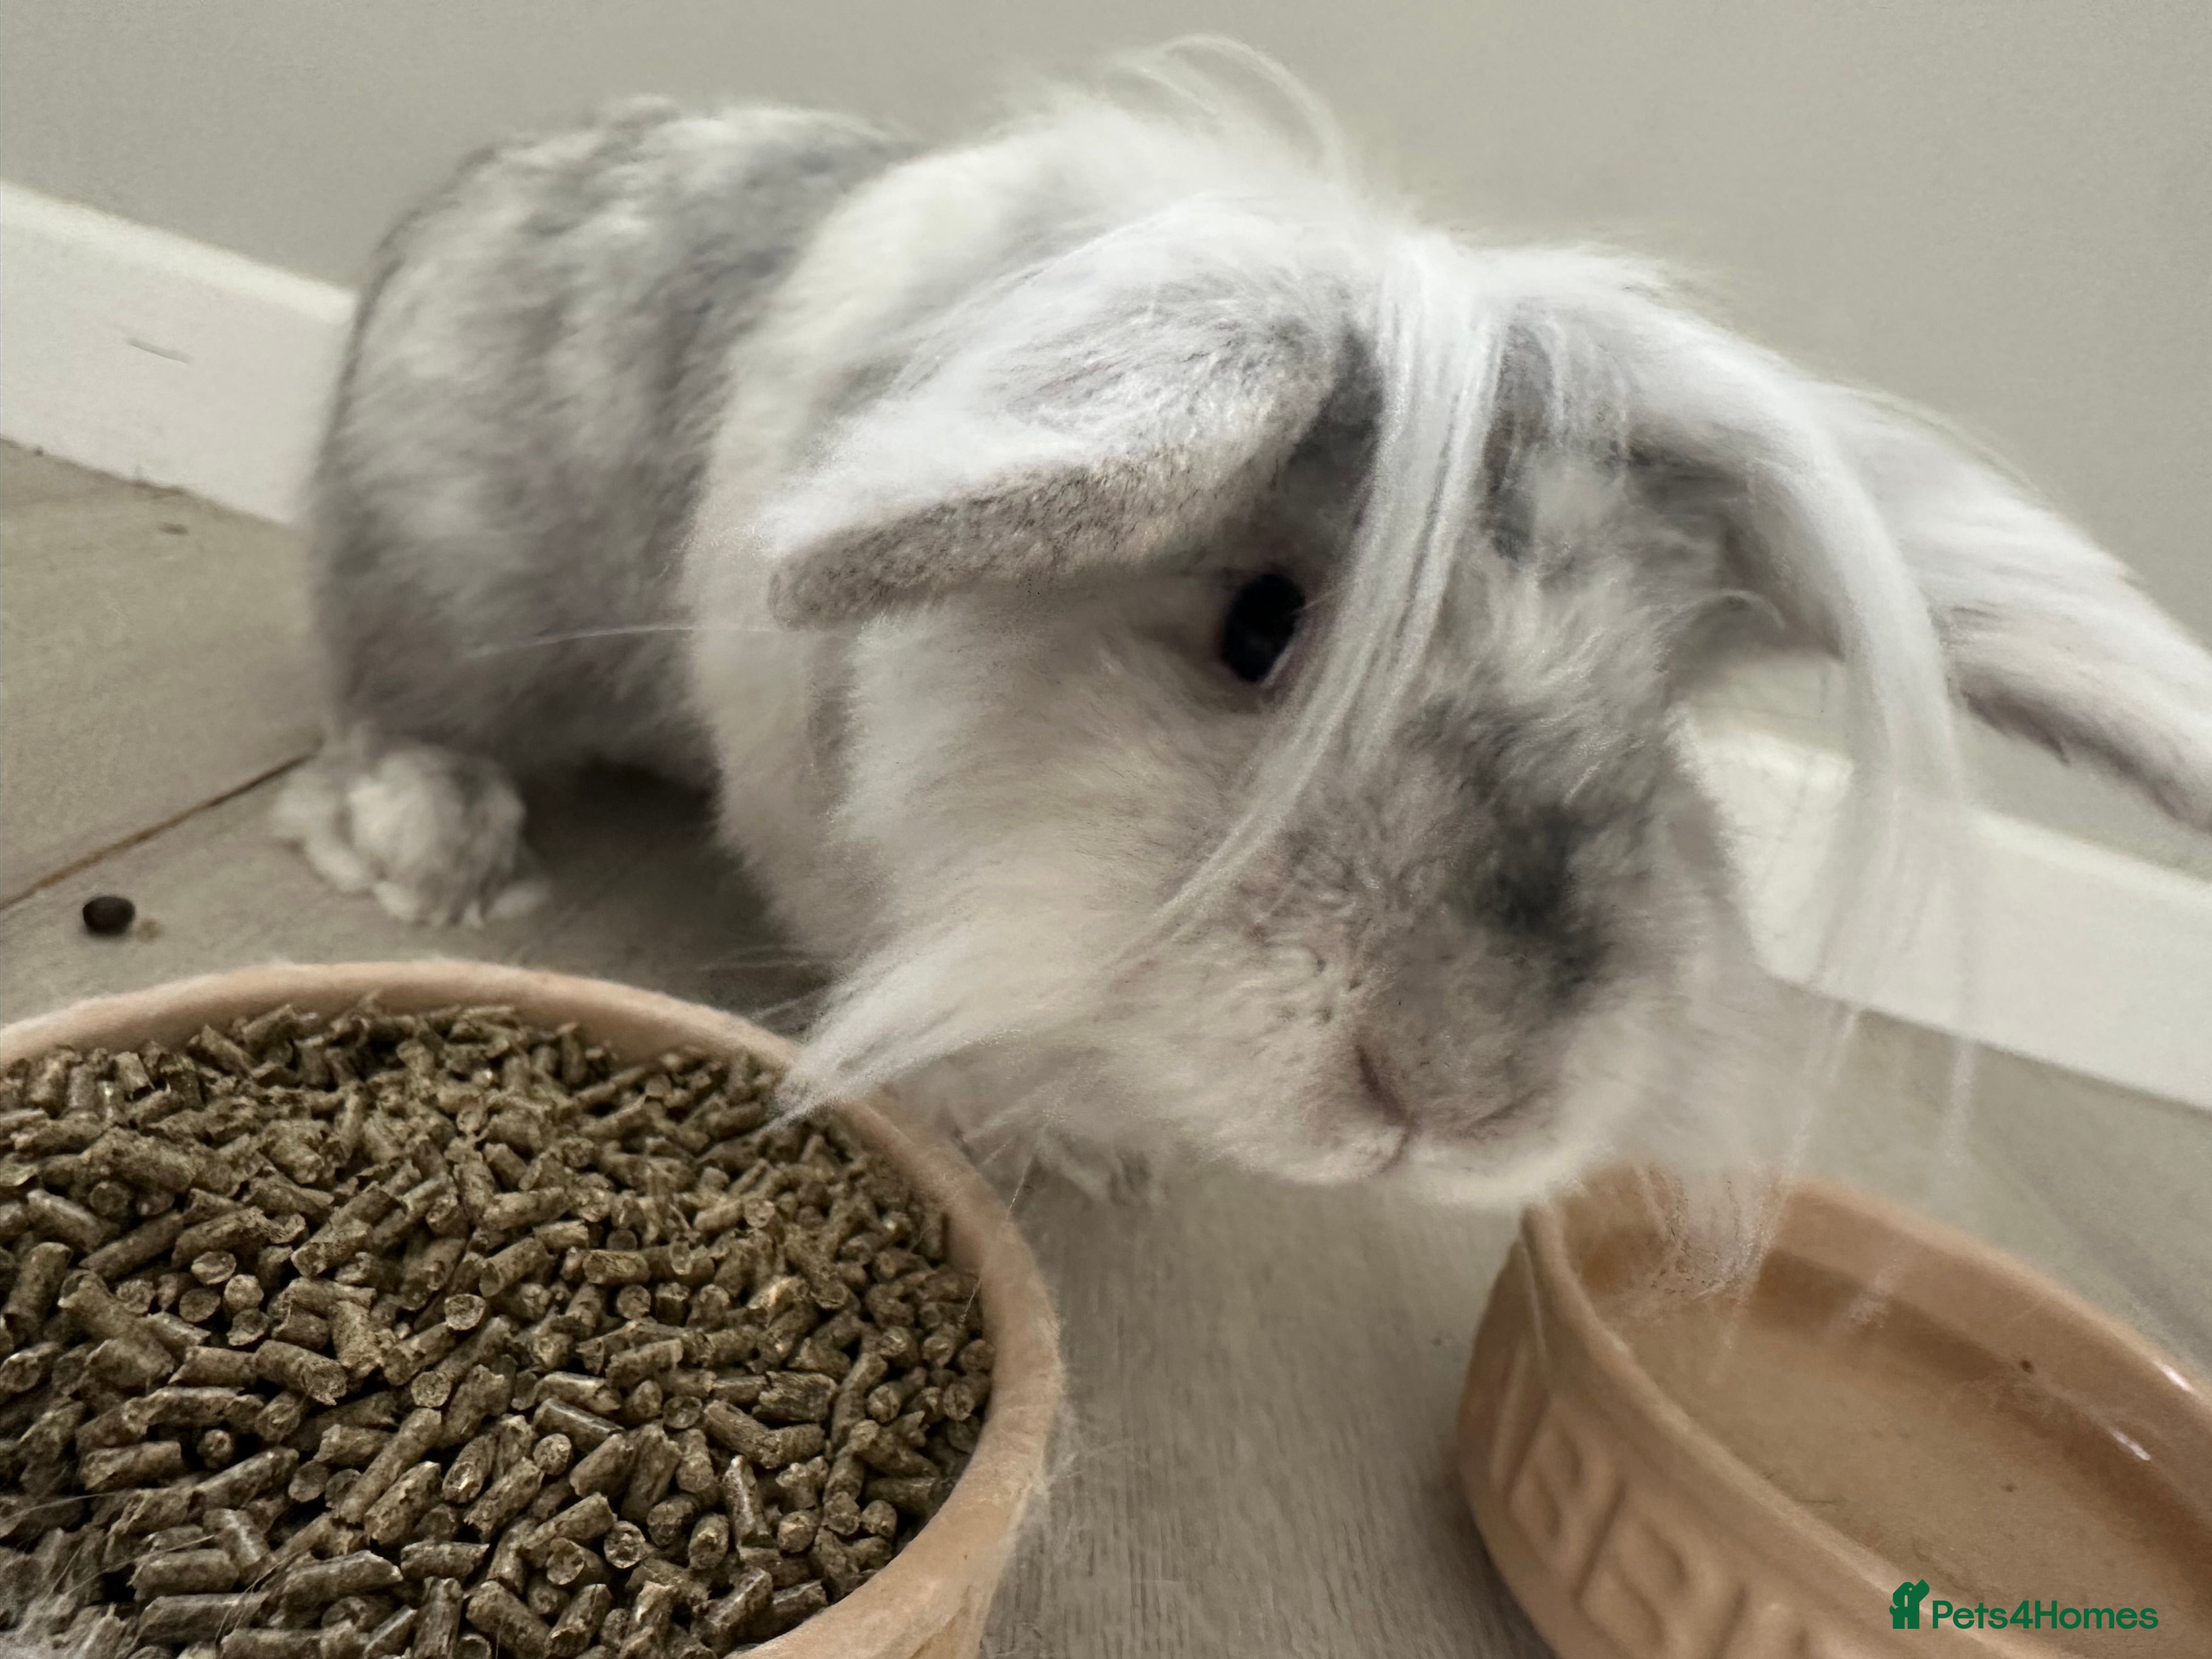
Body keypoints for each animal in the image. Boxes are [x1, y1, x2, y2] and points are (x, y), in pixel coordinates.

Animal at [275, 51, 2212, 1205]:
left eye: (1658, 732)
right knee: (382, 708)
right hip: (436, 599)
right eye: (1261, 629)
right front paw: (1039, 1145)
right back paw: (440, 852)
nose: (1459, 1093)